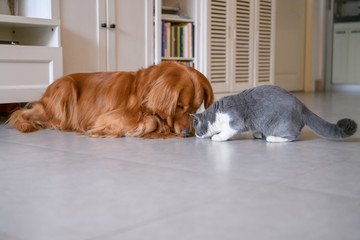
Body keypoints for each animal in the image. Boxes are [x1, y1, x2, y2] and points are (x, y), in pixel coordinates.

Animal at [8, 61, 214, 138]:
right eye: (179, 106)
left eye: (195, 109)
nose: (188, 133)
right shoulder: (108, 116)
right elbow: (150, 121)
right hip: (65, 90)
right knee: (22, 112)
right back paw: (25, 124)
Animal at [191, 85, 358, 142]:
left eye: (196, 129)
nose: (196, 136)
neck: (215, 114)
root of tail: (303, 106)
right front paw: (257, 134)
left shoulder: (235, 121)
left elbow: (227, 131)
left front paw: (217, 137)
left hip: (281, 125)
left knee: (293, 136)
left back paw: (272, 138)